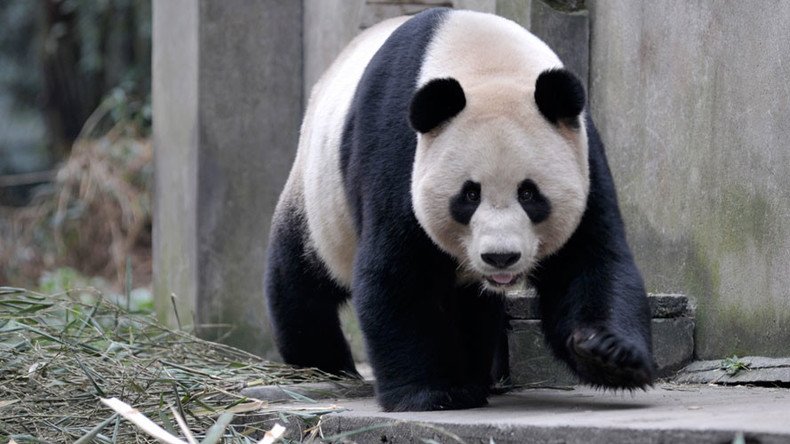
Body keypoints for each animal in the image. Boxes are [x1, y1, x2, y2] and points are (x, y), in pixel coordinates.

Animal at [266, 7, 656, 412]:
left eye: (529, 194)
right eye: (469, 195)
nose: (501, 257)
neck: (488, 64)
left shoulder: (582, 155)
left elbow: (589, 259)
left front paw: (610, 354)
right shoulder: (398, 151)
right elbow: (398, 272)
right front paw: (429, 392)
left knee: (473, 307)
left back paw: (479, 376)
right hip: (318, 200)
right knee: (300, 279)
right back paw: (322, 363)